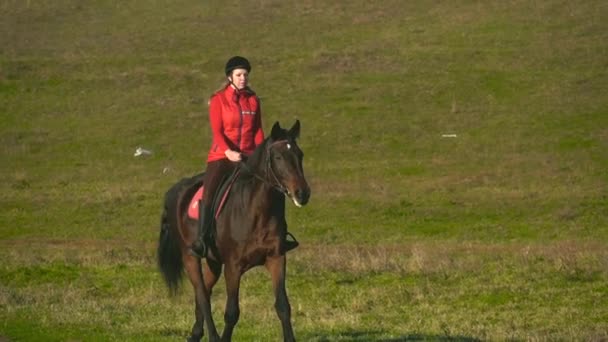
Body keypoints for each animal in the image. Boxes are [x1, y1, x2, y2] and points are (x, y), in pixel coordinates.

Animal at [158, 121, 308, 342]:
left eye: (300, 155)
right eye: (278, 157)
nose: (302, 193)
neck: (257, 210)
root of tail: (175, 191)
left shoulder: (276, 258)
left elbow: (283, 306)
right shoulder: (233, 266)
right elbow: (231, 312)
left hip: (213, 262)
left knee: (204, 291)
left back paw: (195, 334)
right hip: (189, 256)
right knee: (202, 295)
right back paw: (211, 336)